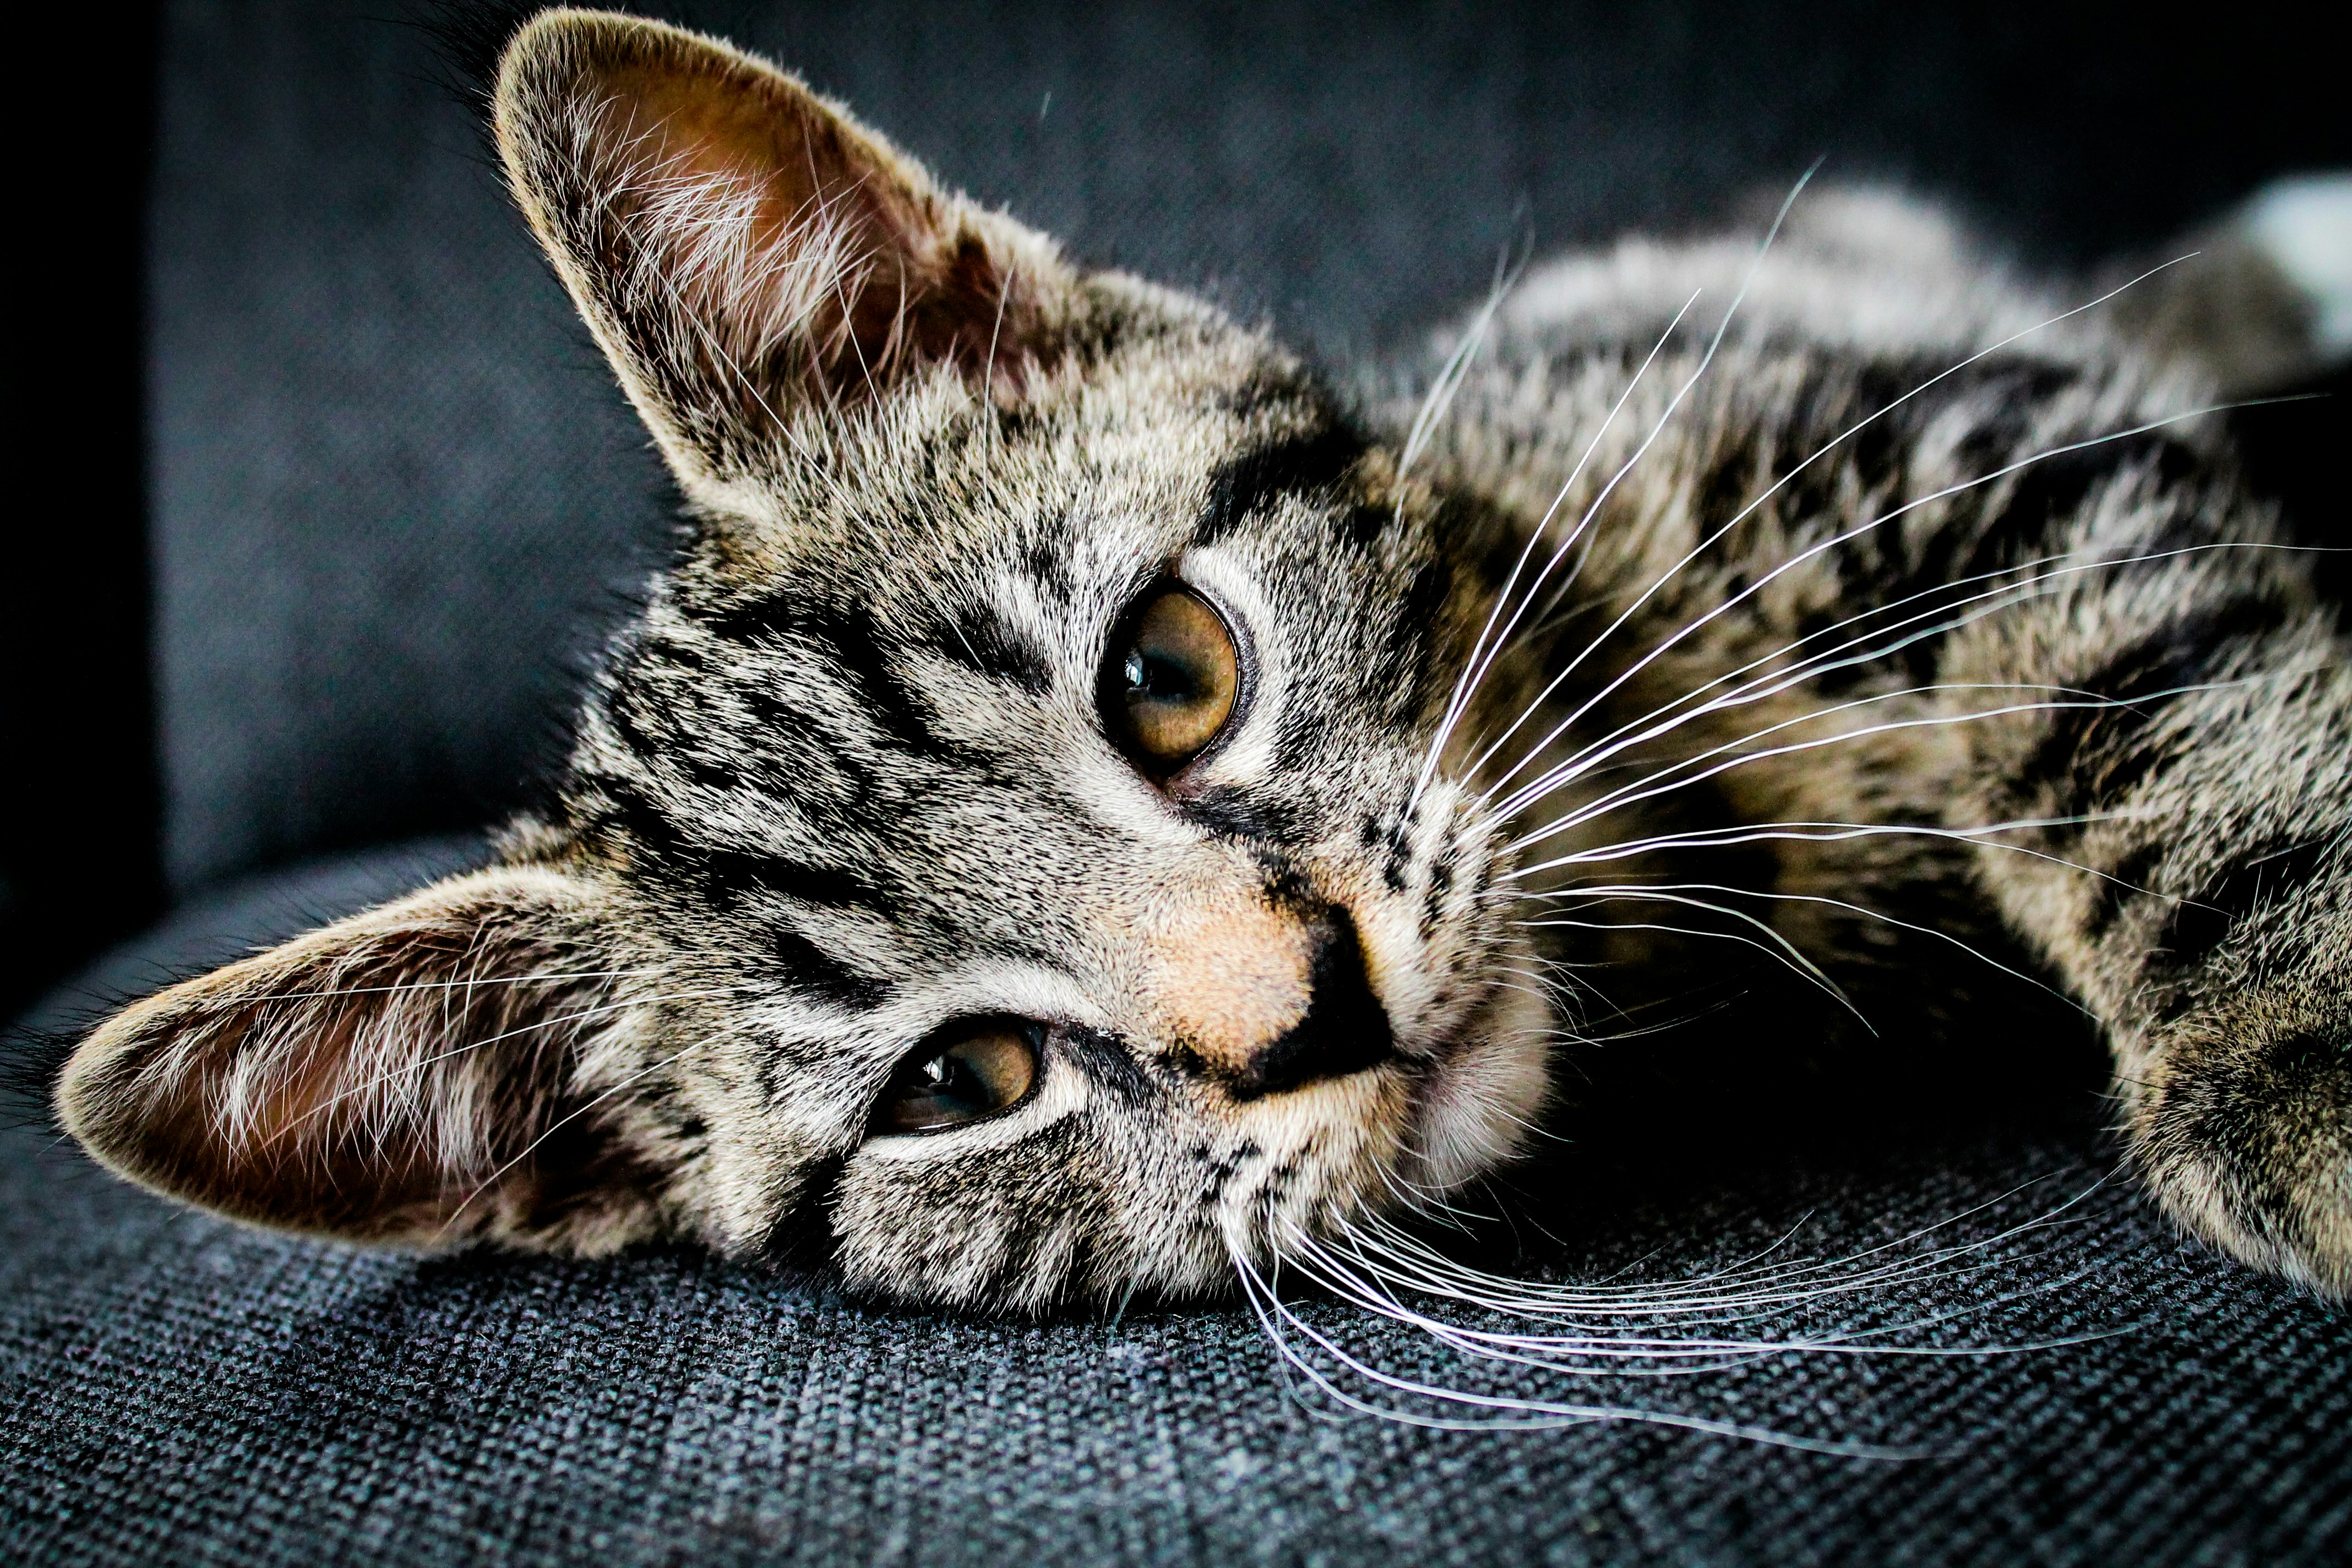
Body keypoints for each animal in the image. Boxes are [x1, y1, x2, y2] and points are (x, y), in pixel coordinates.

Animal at [55, 9, 2352, 1316]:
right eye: (961, 1082)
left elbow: (2131, 665)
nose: (1314, 1003)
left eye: (1170, 672)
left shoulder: (1910, 415)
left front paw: (2299, 1029)